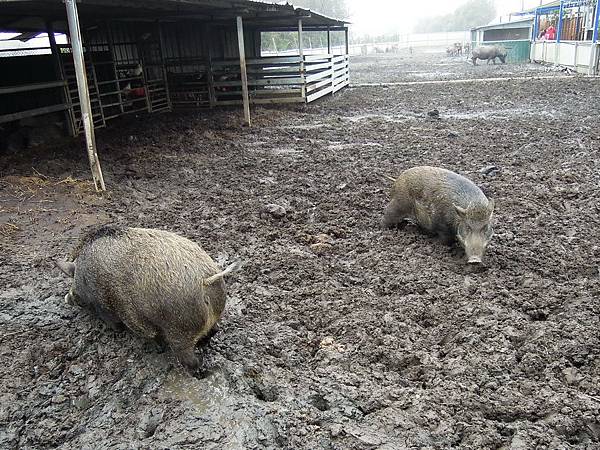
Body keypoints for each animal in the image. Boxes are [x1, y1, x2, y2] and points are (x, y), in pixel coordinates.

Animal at [54, 227, 241, 370]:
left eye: (73, 284)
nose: (67, 297)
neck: (83, 279)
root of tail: (204, 279)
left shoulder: (107, 309)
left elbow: (116, 325)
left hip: (180, 330)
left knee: (188, 357)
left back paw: (197, 366)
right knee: (213, 331)